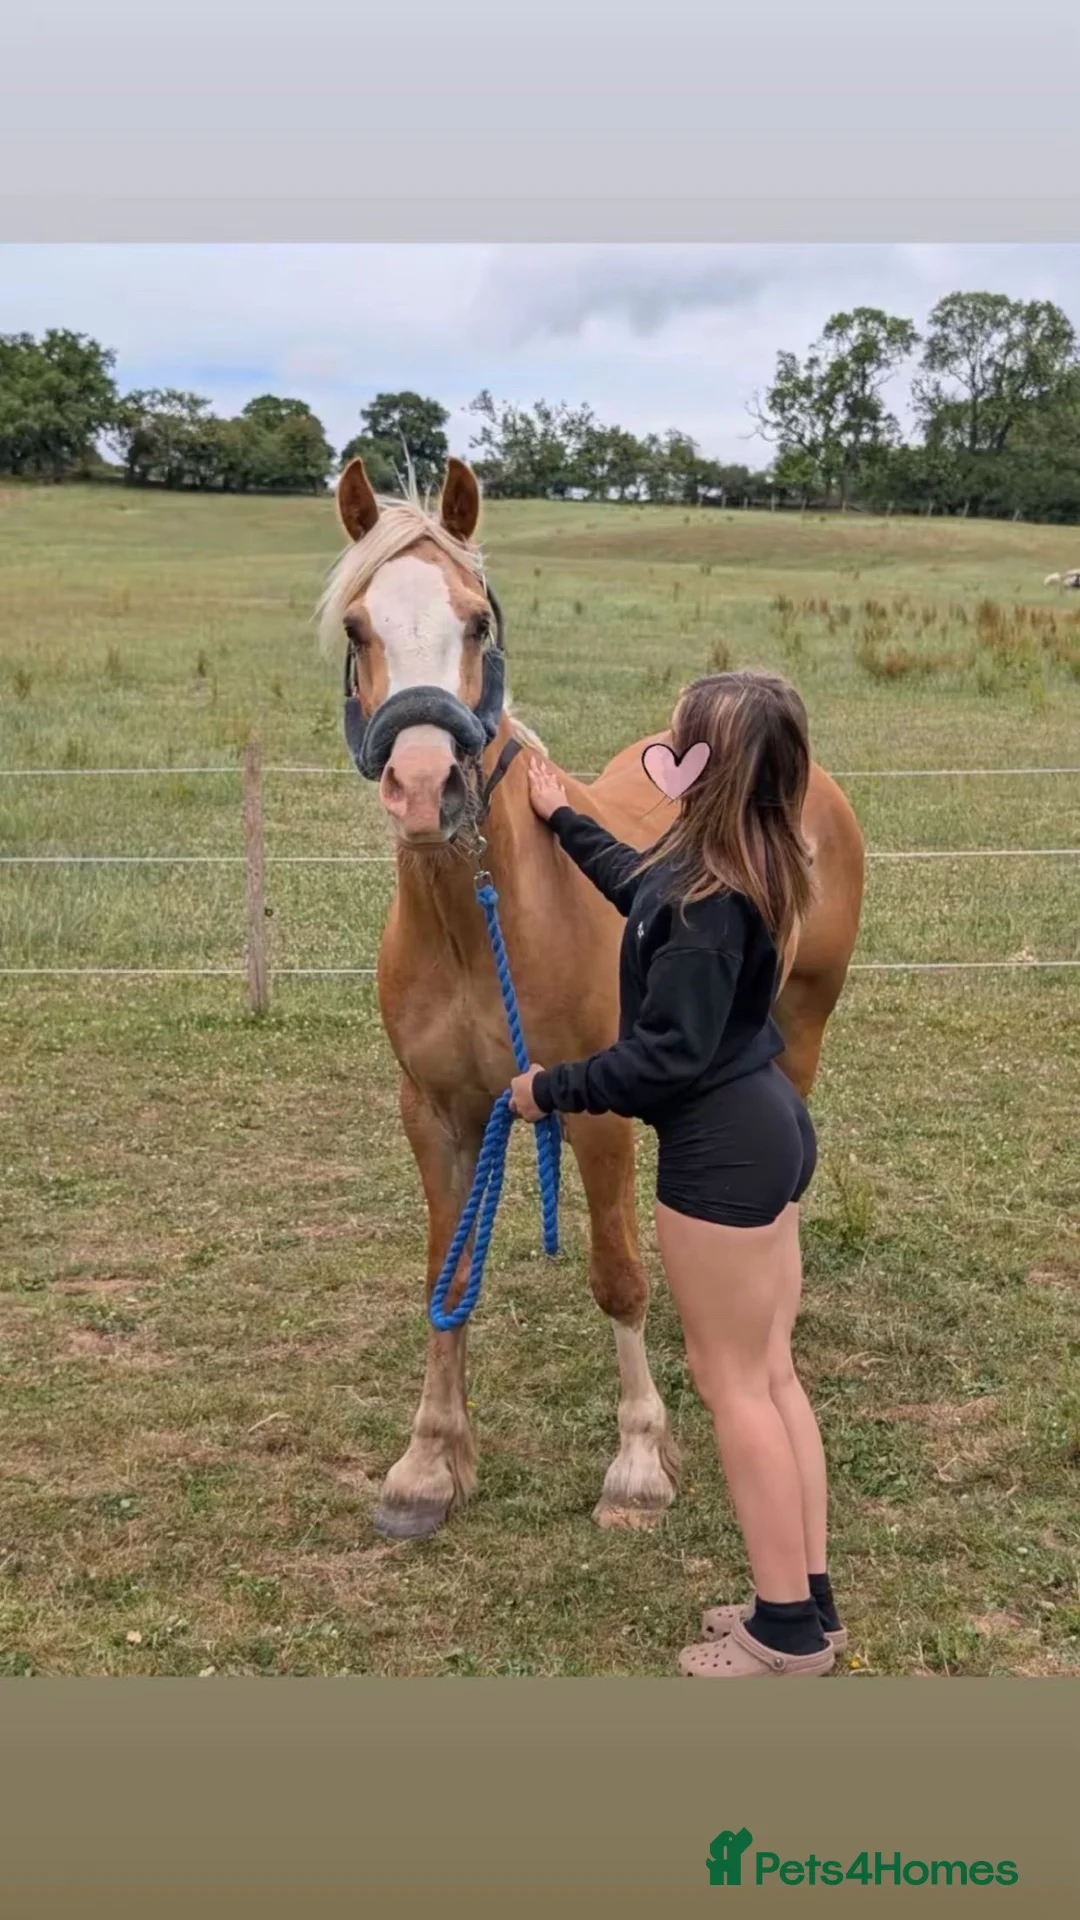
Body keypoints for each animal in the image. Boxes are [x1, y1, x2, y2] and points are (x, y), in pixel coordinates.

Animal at [318, 455, 866, 1542]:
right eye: (358, 626)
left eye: (476, 620)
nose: (423, 785)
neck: (478, 921)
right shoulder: (440, 1113)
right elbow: (447, 1277)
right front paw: (428, 1464)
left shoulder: (595, 1112)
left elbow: (616, 1277)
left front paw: (639, 1461)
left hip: (802, 1029)